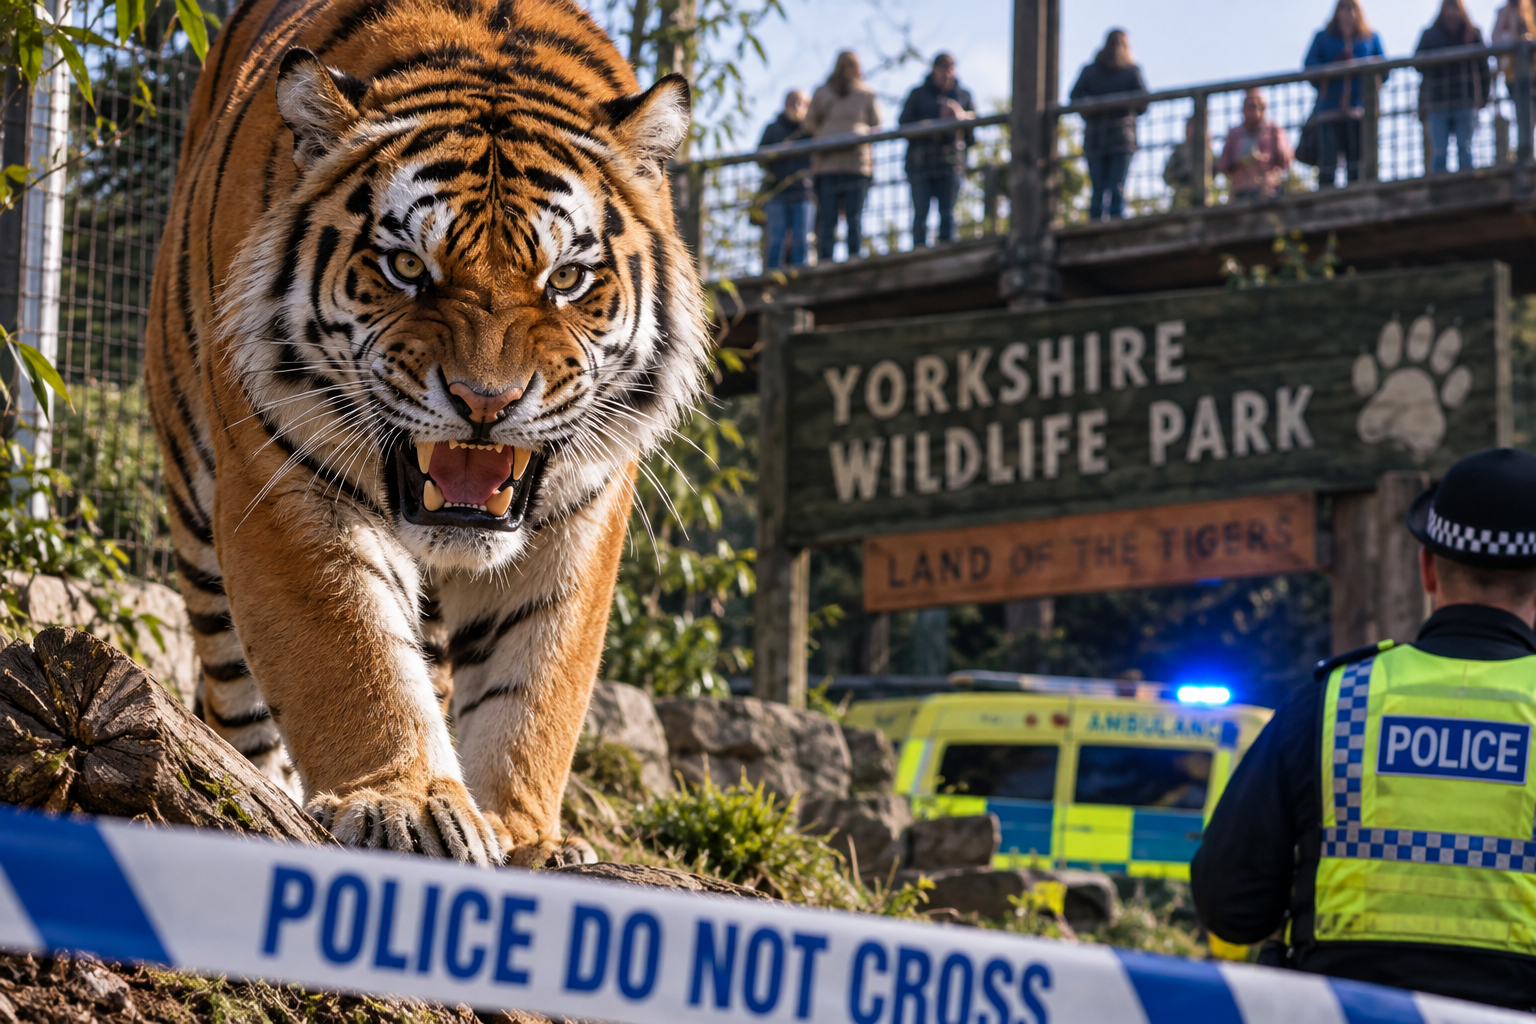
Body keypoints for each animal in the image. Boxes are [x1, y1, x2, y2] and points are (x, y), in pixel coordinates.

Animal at [145, 0, 707, 865]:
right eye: (408, 268)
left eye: (566, 279)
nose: (486, 400)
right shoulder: (281, 471)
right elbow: (351, 651)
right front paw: (404, 803)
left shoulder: (583, 510)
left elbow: (535, 687)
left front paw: (524, 837)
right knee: (235, 704)